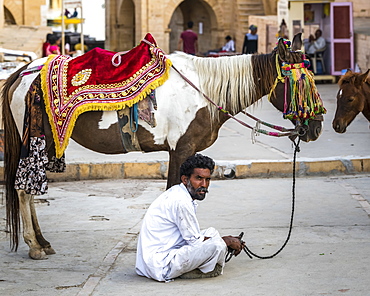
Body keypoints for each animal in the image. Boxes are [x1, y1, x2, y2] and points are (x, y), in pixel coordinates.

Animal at [0, 33, 324, 260]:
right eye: (300, 84)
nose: (316, 128)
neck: (203, 91)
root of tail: (21, 73)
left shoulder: (178, 152)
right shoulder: (181, 149)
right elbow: (174, 195)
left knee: (29, 192)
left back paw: (43, 242)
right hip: (37, 144)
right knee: (24, 190)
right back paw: (34, 245)